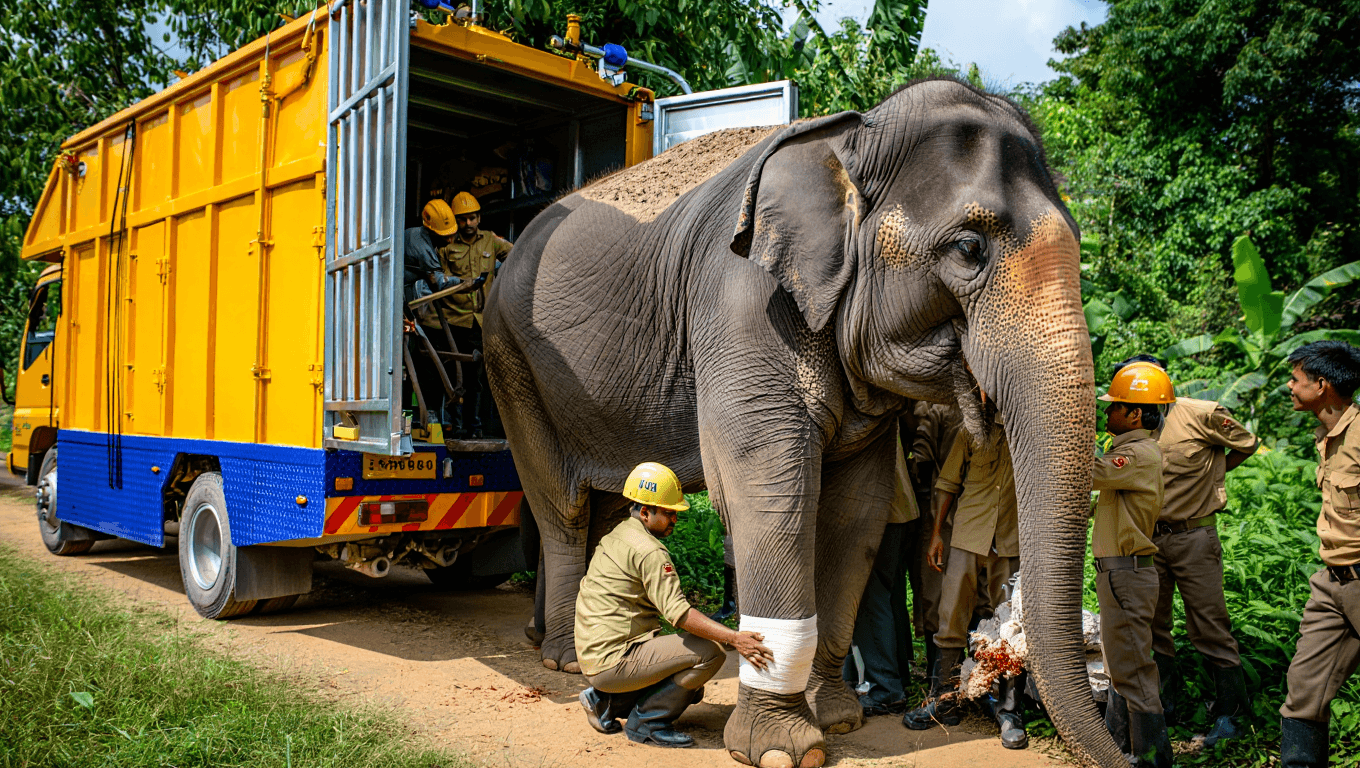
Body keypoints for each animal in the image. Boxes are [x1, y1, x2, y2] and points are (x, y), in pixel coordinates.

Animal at [483, 77, 1121, 768]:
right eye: (969, 248)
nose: (1130, 757)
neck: (852, 136)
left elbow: (856, 510)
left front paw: (837, 718)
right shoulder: (739, 303)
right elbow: (768, 492)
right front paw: (780, 748)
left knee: (603, 499)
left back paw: (549, 639)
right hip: (511, 356)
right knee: (563, 505)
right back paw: (567, 661)